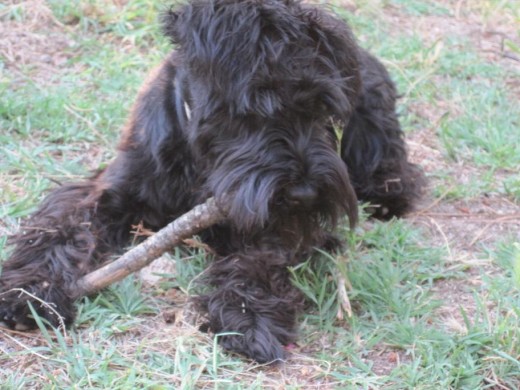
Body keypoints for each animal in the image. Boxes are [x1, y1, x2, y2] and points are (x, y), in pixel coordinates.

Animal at [0, 0, 422, 362]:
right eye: (257, 105)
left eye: (324, 110)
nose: (305, 193)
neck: (200, 161)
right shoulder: (109, 191)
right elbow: (60, 228)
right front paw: (30, 292)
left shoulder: (282, 225)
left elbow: (260, 258)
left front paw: (248, 315)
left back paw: (389, 193)